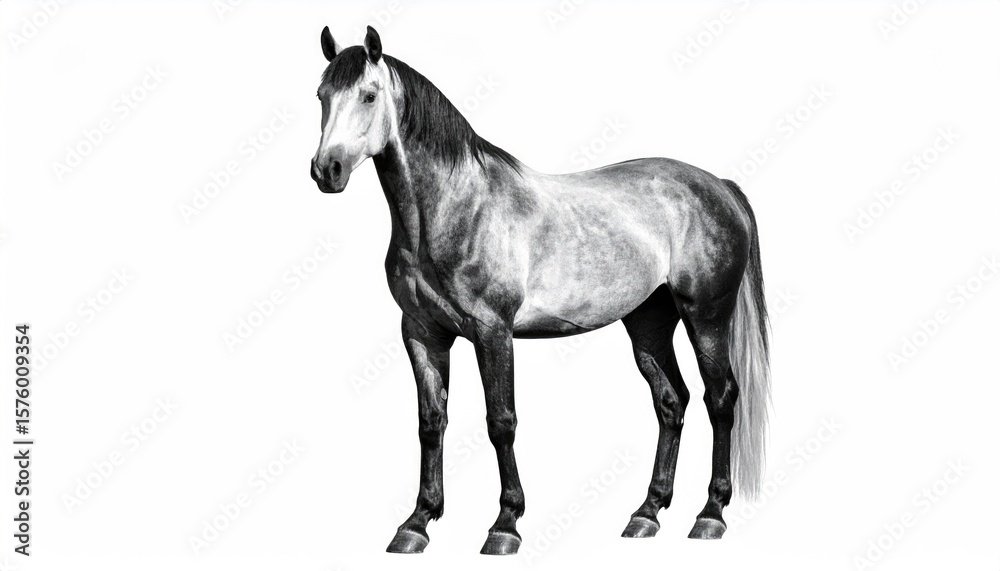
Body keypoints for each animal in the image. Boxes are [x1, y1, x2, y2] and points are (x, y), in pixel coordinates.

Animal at [311, 25, 771, 555]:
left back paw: (710, 515)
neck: (455, 208)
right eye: (321, 96)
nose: (327, 170)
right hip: (648, 322)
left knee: (721, 399)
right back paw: (646, 514)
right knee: (672, 402)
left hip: (706, 317)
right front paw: (417, 523)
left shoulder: (492, 332)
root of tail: (719, 185)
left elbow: (500, 422)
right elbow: (430, 423)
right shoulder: (422, 333)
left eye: (368, 95)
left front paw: (505, 525)